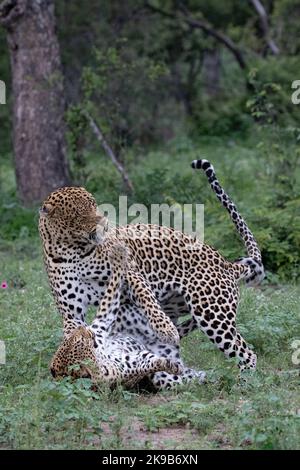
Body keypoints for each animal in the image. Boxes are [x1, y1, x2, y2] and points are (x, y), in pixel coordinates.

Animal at [38, 160, 264, 372]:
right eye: (78, 214)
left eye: (93, 204)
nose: (104, 223)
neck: (72, 250)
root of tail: (226, 263)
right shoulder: (72, 310)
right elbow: (74, 335)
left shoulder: (131, 271)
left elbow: (147, 299)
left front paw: (166, 330)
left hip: (212, 312)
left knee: (245, 352)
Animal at [51, 242, 206, 390]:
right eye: (79, 340)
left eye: (70, 339)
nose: (84, 328)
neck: (98, 353)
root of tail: (155, 342)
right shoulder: (131, 365)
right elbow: (151, 363)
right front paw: (171, 366)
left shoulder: (102, 322)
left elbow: (111, 291)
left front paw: (117, 254)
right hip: (163, 379)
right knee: (191, 377)